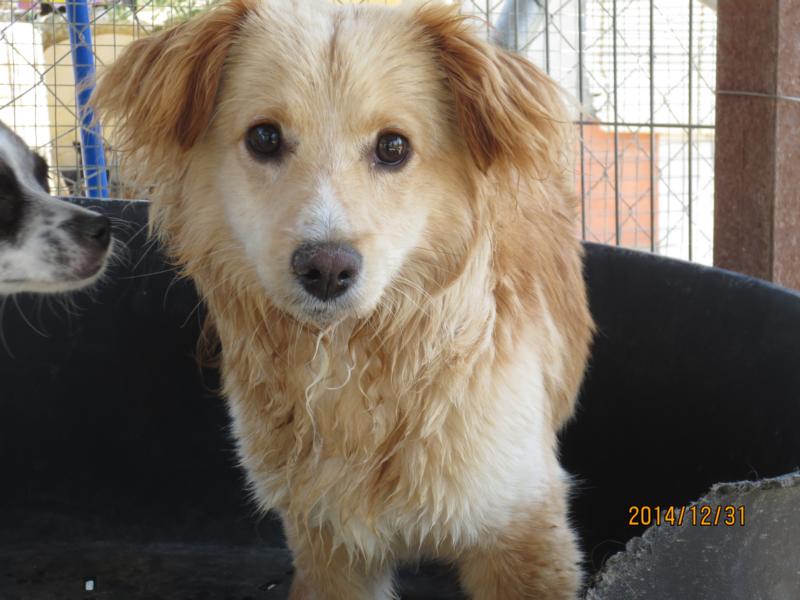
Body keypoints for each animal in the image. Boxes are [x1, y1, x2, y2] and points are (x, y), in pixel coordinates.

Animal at [92, 1, 593, 597]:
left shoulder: (523, 533)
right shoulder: (328, 547)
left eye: (393, 147)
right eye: (265, 137)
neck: (346, 361)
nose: (326, 269)